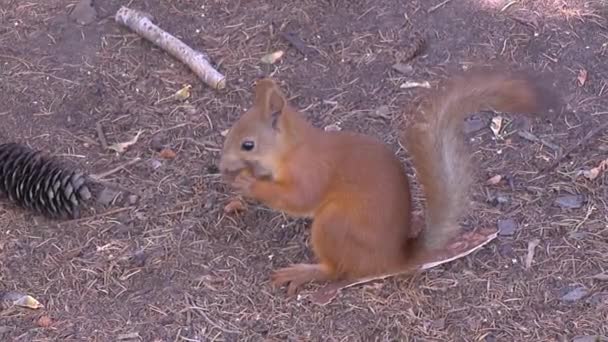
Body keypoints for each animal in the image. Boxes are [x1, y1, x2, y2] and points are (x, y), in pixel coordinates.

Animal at [218, 68, 556, 296]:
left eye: (248, 144)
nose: (220, 166)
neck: (293, 148)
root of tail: (393, 258)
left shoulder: (312, 171)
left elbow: (300, 199)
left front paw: (249, 184)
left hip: (333, 224)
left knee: (336, 270)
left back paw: (305, 272)